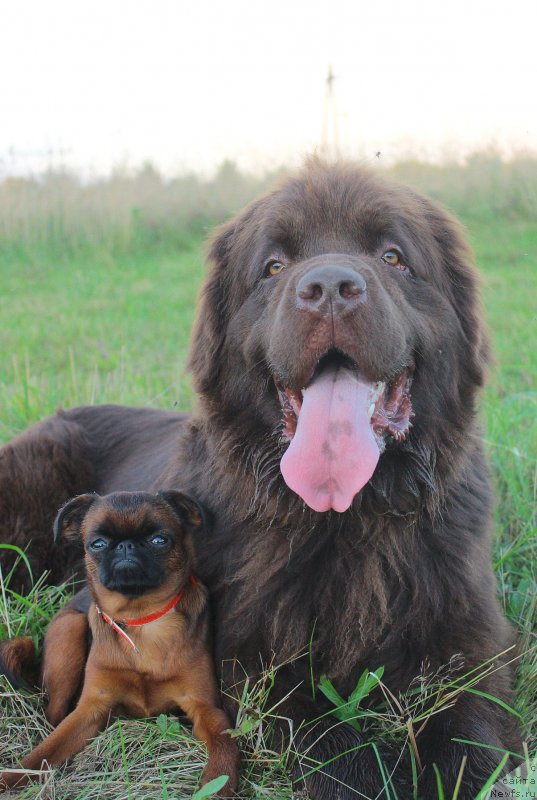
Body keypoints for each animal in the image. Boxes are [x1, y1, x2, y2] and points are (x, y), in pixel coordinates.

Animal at [0, 490, 239, 796]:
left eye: (160, 540)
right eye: (98, 544)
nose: (126, 546)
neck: (142, 621)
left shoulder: (207, 710)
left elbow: (224, 747)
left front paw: (217, 785)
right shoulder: (90, 709)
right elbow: (44, 751)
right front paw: (11, 777)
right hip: (70, 631)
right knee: (53, 714)